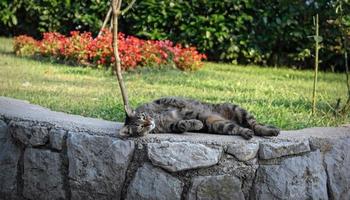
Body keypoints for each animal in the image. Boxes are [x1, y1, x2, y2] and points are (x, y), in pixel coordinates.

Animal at [119, 97, 280, 139]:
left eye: (143, 116)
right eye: (140, 126)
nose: (149, 123)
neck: (158, 119)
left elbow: (175, 102)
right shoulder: (172, 125)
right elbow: (182, 125)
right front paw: (195, 124)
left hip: (237, 110)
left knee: (255, 124)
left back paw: (269, 130)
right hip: (218, 125)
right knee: (239, 129)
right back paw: (247, 133)